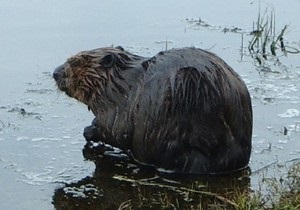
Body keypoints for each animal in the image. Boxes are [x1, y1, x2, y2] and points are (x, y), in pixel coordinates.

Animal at [52, 46, 252, 174]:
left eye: (76, 62)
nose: (55, 72)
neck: (121, 82)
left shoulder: (120, 107)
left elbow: (116, 130)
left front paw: (89, 130)